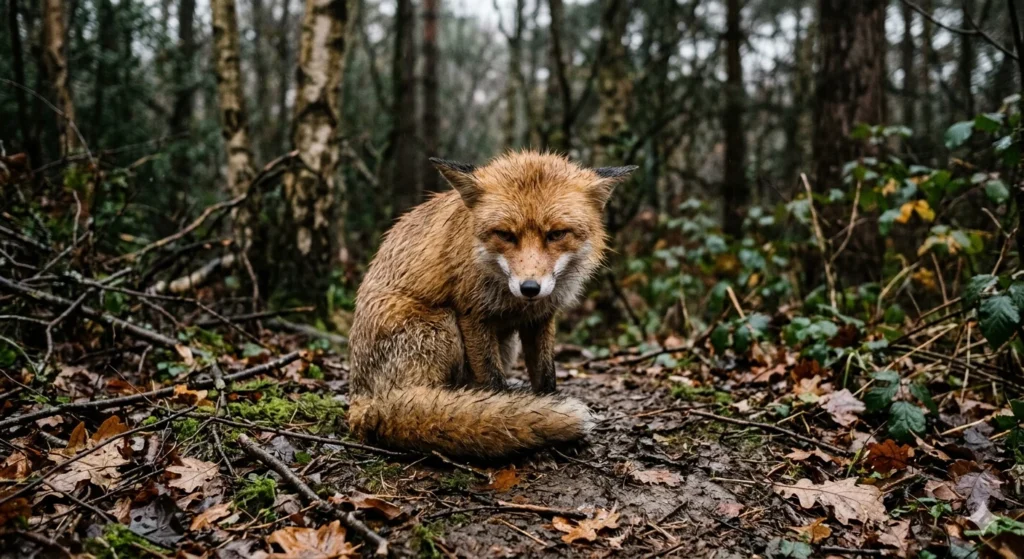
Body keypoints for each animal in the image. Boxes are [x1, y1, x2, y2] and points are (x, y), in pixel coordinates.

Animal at [346, 151, 636, 458]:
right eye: (505, 234)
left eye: (556, 234)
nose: (530, 288)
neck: (516, 303)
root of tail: (362, 401)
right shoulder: (472, 315)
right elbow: (495, 385)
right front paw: (510, 416)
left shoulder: (541, 318)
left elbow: (546, 379)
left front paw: (546, 413)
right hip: (442, 328)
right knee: (425, 402)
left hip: (505, 345)